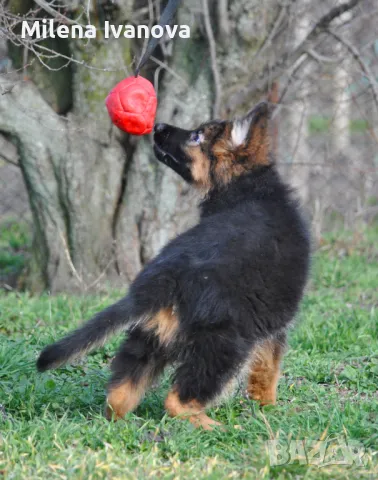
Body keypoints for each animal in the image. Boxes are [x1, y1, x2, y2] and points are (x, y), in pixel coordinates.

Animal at [37, 103, 310, 430]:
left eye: (196, 136)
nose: (157, 126)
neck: (247, 187)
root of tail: (164, 277)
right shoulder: (273, 326)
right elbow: (268, 368)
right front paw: (267, 406)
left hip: (151, 335)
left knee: (118, 396)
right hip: (224, 344)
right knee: (177, 400)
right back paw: (215, 427)